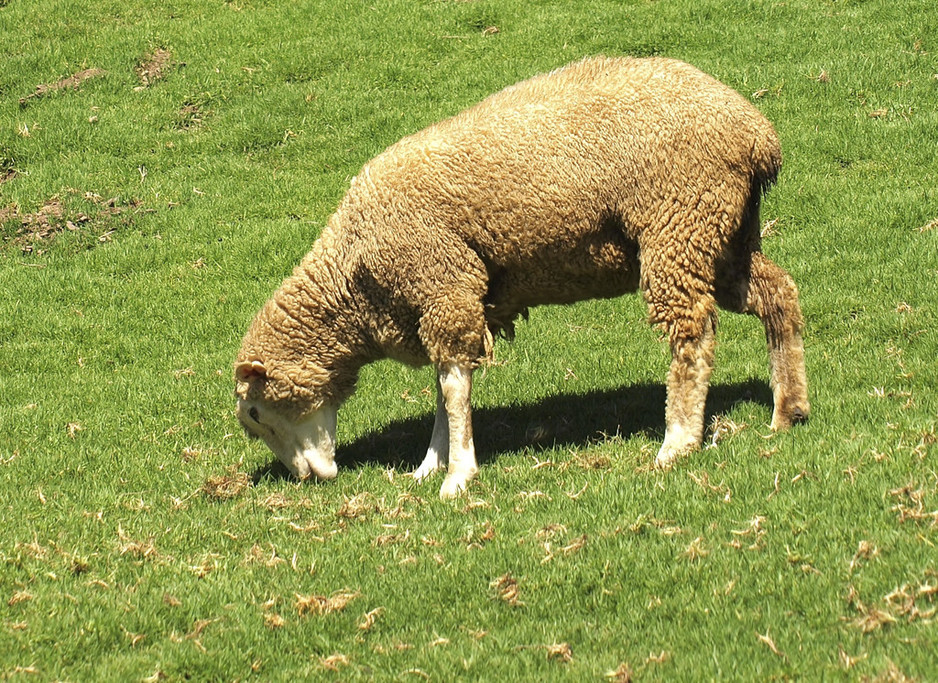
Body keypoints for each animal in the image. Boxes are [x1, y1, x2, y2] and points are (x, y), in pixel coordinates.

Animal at [232, 56, 804, 500]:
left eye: (256, 413)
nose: (310, 478)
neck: (354, 274)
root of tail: (757, 133)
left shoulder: (443, 285)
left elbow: (453, 388)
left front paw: (458, 475)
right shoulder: (444, 301)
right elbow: (444, 389)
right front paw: (430, 464)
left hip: (679, 223)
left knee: (693, 333)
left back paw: (678, 441)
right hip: (724, 234)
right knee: (778, 294)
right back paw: (788, 408)